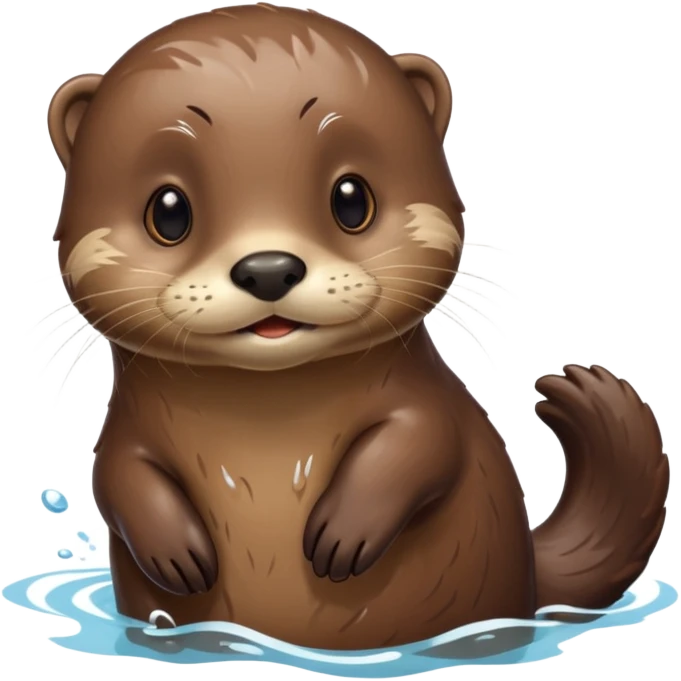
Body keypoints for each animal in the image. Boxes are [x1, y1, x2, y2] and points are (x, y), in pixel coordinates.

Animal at [47, 3, 670, 651]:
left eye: (351, 199)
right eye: (168, 211)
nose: (268, 268)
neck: (268, 432)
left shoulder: (430, 404)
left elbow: (421, 441)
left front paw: (342, 536)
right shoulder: (124, 431)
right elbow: (115, 474)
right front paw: (176, 553)